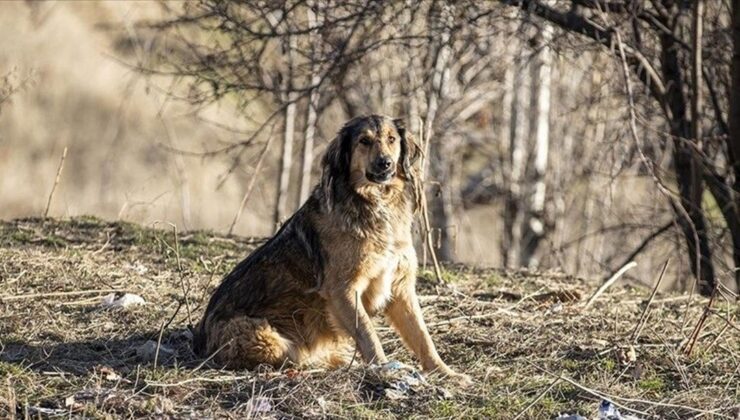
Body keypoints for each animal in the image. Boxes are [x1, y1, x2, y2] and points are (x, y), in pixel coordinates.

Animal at [195, 115, 468, 384]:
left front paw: (445, 372)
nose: (386, 164)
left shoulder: (400, 287)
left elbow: (422, 336)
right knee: (293, 357)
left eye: (392, 139)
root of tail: (201, 339)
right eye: (364, 141)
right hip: (265, 336)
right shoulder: (343, 289)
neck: (375, 202)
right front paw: (384, 368)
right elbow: (368, 333)